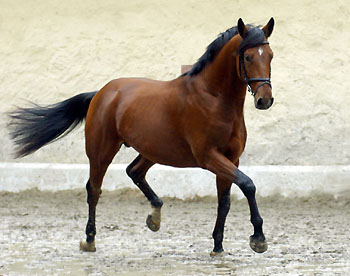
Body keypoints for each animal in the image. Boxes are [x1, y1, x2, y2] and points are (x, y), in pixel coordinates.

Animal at [8, 17, 274, 256]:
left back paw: (154, 217)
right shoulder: (209, 157)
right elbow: (248, 185)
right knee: (94, 189)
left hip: (153, 149)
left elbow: (225, 201)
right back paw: (90, 240)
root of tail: (102, 92)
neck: (214, 98)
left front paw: (218, 246)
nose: (265, 100)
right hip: (101, 152)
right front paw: (258, 239)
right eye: (248, 57)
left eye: (270, 55)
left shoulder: (231, 158)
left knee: (134, 171)